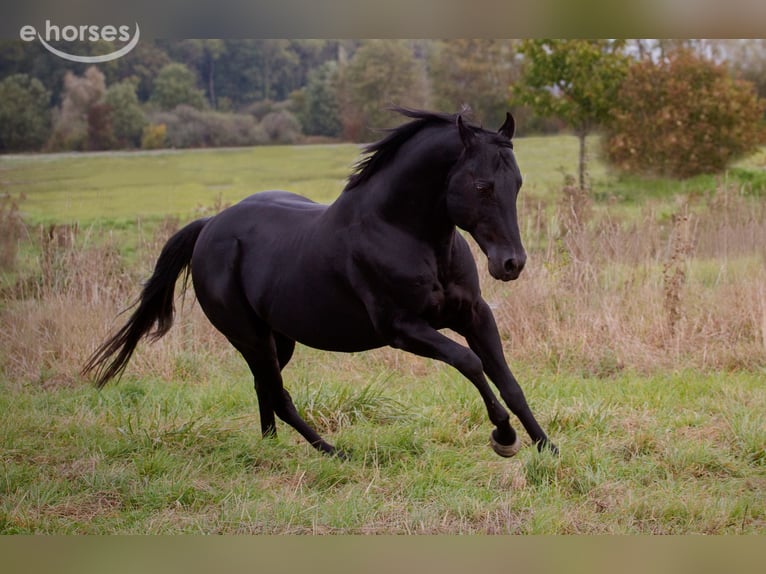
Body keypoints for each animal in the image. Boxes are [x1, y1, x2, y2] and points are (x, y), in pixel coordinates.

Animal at [83, 108, 557, 458]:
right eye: (481, 185)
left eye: (516, 183)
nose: (511, 263)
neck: (405, 233)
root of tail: (210, 227)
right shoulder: (403, 329)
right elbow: (470, 363)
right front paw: (504, 438)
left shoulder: (473, 315)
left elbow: (508, 381)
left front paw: (546, 445)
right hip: (249, 337)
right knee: (278, 394)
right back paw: (331, 451)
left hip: (278, 339)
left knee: (265, 388)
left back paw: (271, 448)